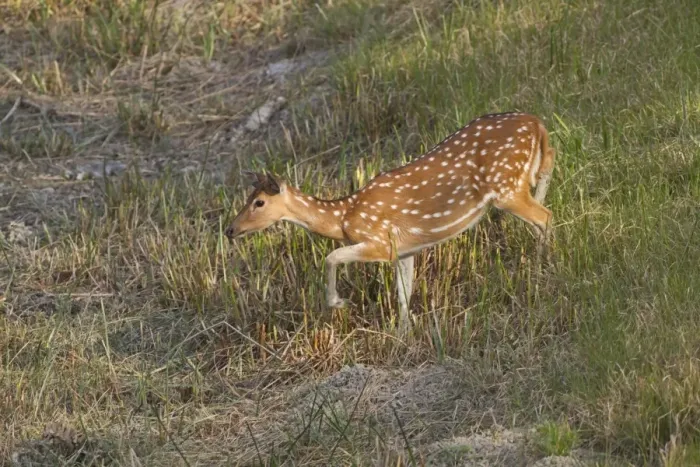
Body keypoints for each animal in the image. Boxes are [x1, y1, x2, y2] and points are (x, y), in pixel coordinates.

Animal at [225, 112, 556, 332]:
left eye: (258, 202)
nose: (230, 229)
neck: (344, 216)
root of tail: (535, 122)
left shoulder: (380, 242)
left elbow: (331, 257)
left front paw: (337, 303)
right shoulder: (405, 250)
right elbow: (403, 294)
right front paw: (403, 333)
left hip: (505, 187)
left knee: (545, 216)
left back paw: (540, 270)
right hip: (521, 178)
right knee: (545, 187)